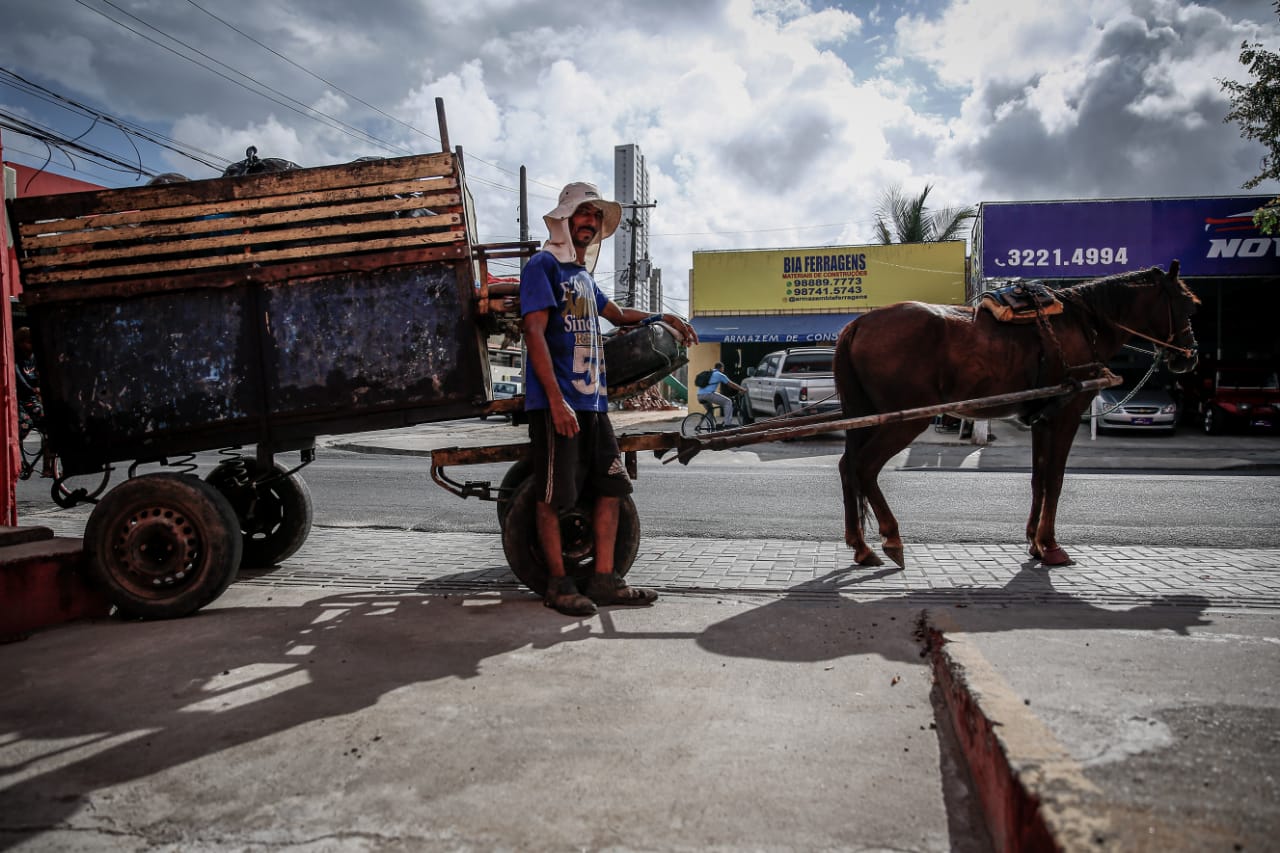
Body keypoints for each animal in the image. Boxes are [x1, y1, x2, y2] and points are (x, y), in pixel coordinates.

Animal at [829, 258, 1198, 563]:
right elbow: (1055, 479)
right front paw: (1051, 546)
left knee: (849, 465)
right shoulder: (1065, 414)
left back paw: (861, 546)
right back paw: (890, 537)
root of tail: (857, 324)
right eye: (1187, 304)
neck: (1084, 323)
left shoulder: (1042, 419)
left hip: (869, 414)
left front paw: (1034, 542)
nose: (1190, 355)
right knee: (865, 466)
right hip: (906, 419)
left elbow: (1039, 478)